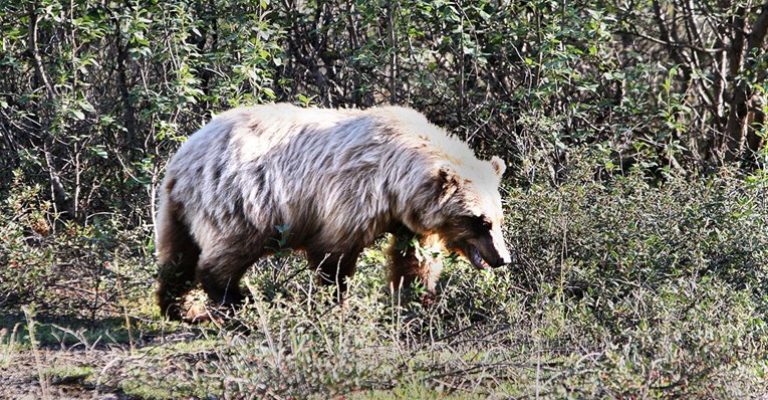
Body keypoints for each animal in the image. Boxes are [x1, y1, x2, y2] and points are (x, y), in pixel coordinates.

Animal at [154, 102, 510, 318]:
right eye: (479, 221)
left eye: (498, 218)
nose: (502, 258)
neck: (396, 183)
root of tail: (182, 158)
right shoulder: (351, 194)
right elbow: (333, 254)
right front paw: (337, 302)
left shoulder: (408, 218)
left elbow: (414, 259)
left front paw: (417, 298)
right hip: (243, 200)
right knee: (227, 252)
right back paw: (236, 300)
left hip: (177, 209)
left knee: (177, 256)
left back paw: (179, 307)